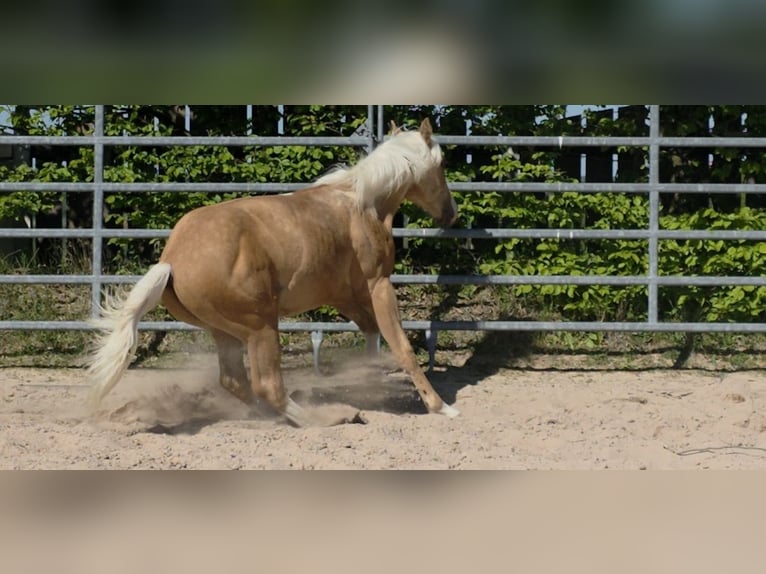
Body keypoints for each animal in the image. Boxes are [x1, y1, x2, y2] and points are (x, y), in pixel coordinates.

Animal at [86, 118, 459, 426]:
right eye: (442, 164)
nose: (451, 212)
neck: (362, 205)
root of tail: (171, 260)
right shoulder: (378, 283)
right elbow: (400, 344)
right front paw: (440, 406)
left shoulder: (341, 293)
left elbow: (370, 330)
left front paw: (372, 379)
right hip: (260, 325)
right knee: (267, 385)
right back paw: (323, 418)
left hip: (225, 331)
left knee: (235, 382)